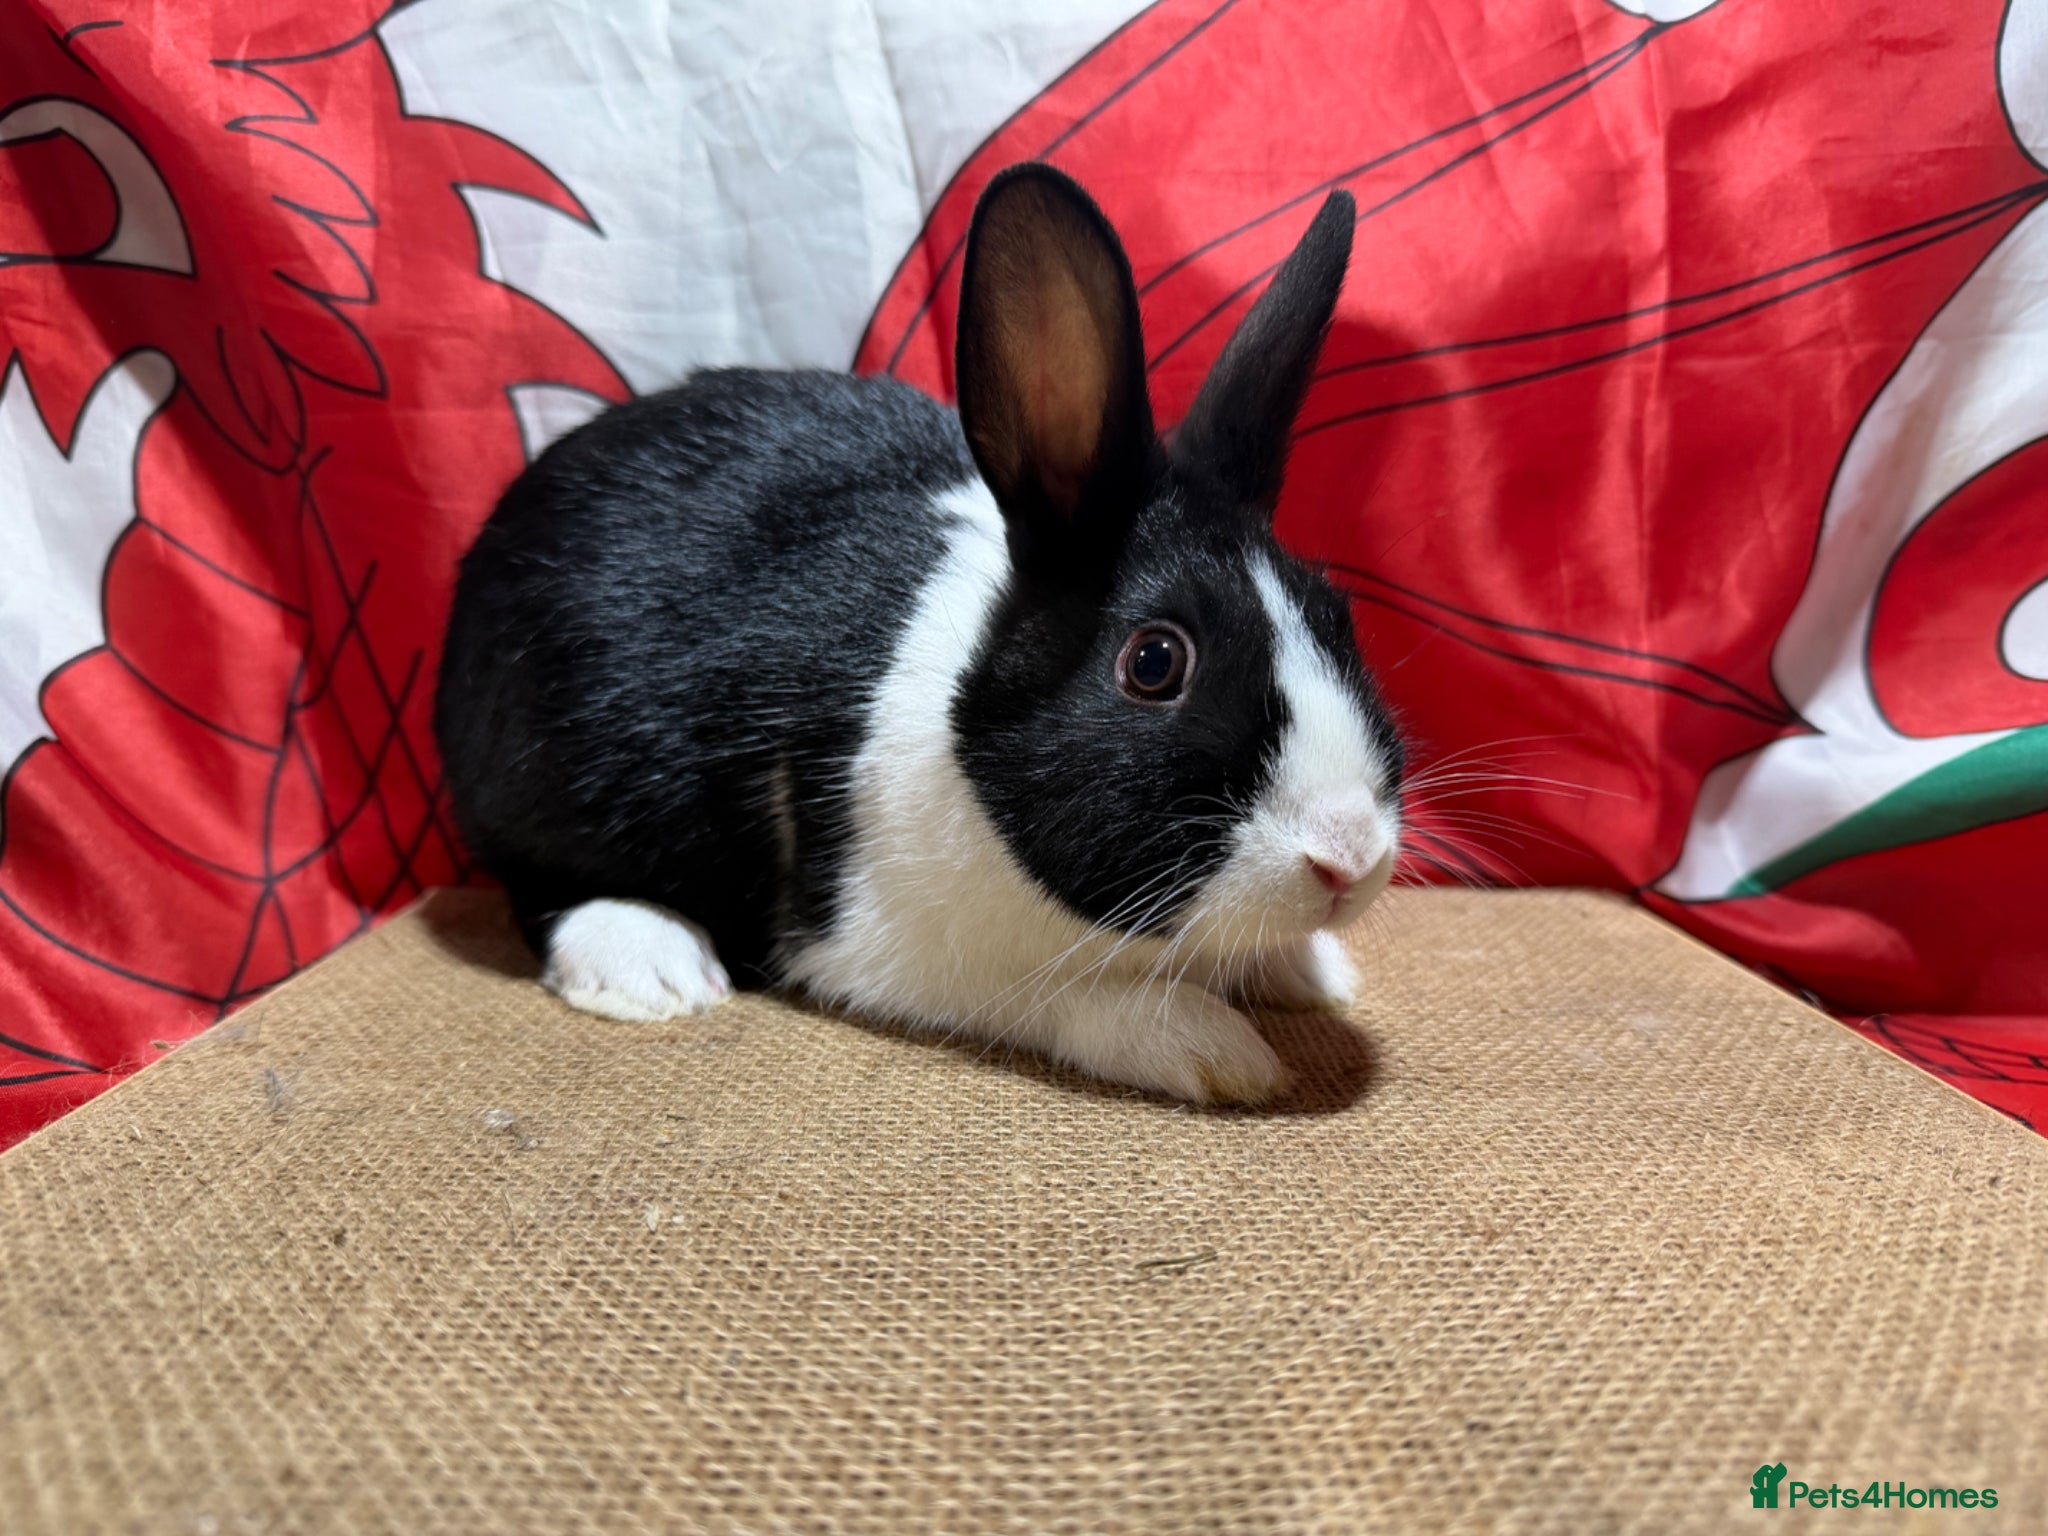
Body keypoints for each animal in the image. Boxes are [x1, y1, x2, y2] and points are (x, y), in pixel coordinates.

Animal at [434, 163, 1403, 1106]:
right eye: (1156, 662)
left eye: (1336, 615)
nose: (1349, 858)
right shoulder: (898, 950)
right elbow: (1077, 998)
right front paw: (1213, 1048)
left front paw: (1312, 972)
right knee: (539, 886)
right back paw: (652, 965)